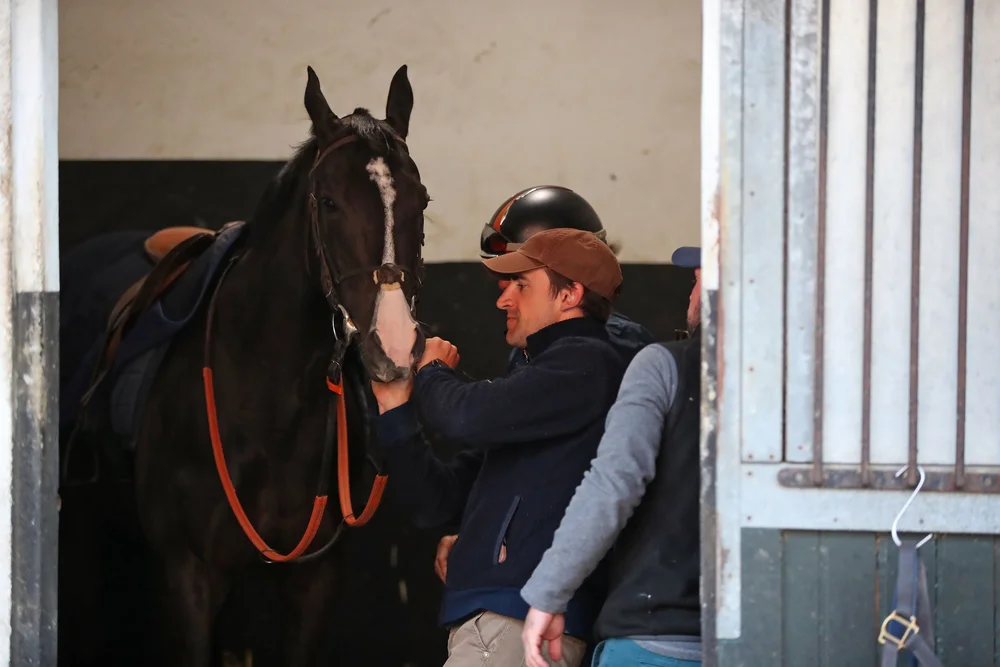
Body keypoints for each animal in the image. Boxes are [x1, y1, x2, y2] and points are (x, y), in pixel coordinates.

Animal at [57, 64, 431, 667]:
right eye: (329, 201)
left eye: (421, 199)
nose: (394, 347)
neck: (266, 404)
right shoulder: (189, 575)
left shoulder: (315, 580)